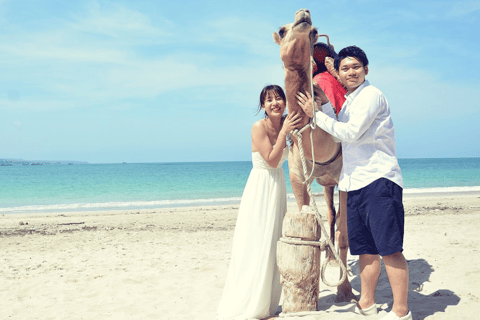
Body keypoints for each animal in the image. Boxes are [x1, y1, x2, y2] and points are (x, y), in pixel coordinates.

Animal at [274, 8, 356, 302]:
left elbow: (343, 233)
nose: (303, 14)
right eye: (282, 30)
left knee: (336, 218)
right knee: (329, 214)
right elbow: (305, 211)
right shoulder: (298, 178)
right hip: (325, 183)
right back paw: (328, 258)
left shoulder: (345, 179)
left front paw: (345, 290)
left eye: (313, 31)